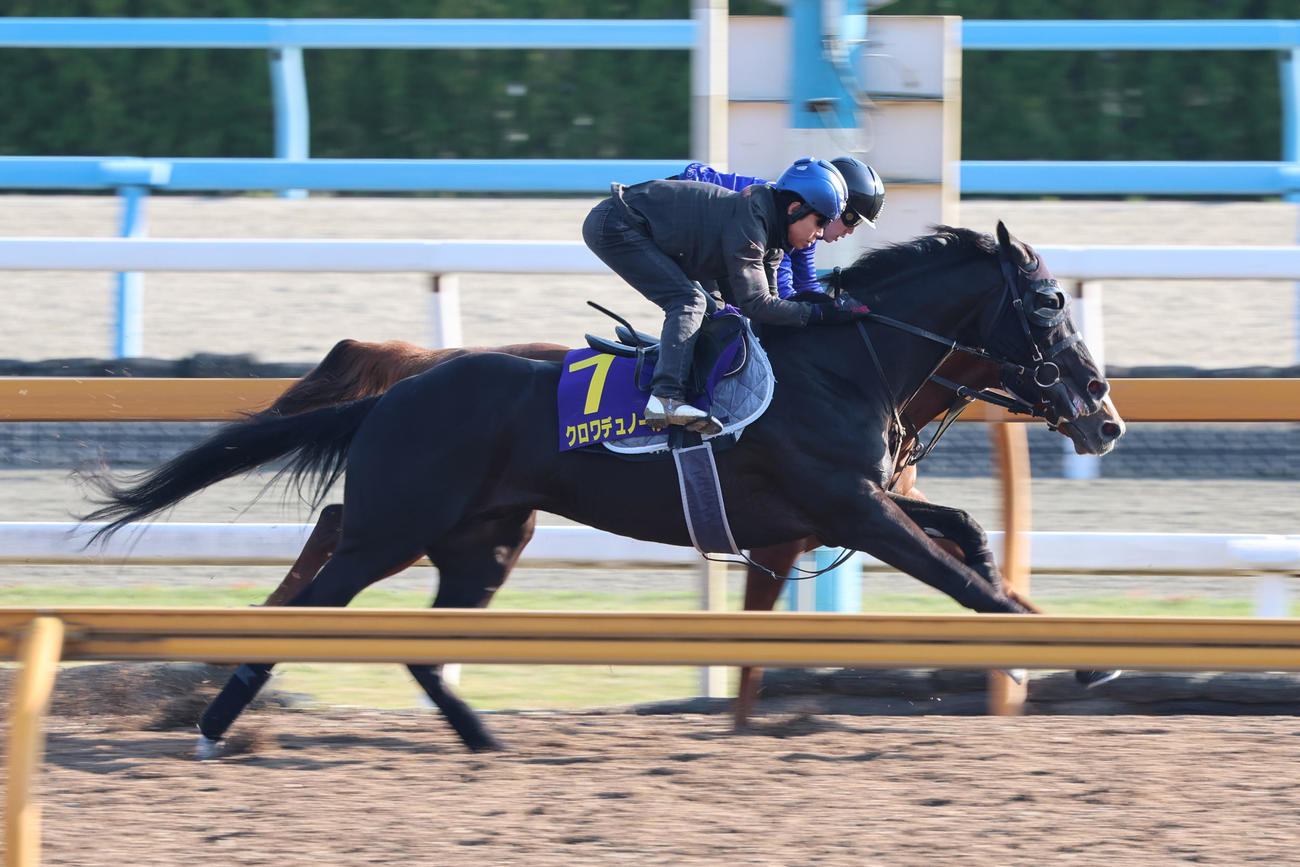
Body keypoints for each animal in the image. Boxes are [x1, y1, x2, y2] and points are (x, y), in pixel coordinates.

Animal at [81, 222, 1125, 755]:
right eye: (1046, 301)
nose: (1104, 414)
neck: (842, 363)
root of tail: (403, 389)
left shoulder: (851, 502)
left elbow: (968, 536)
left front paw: (1059, 651)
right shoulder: (848, 507)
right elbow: (961, 578)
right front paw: (1074, 656)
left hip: (486, 539)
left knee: (421, 641)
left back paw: (478, 737)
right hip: (396, 528)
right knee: (323, 590)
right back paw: (215, 722)